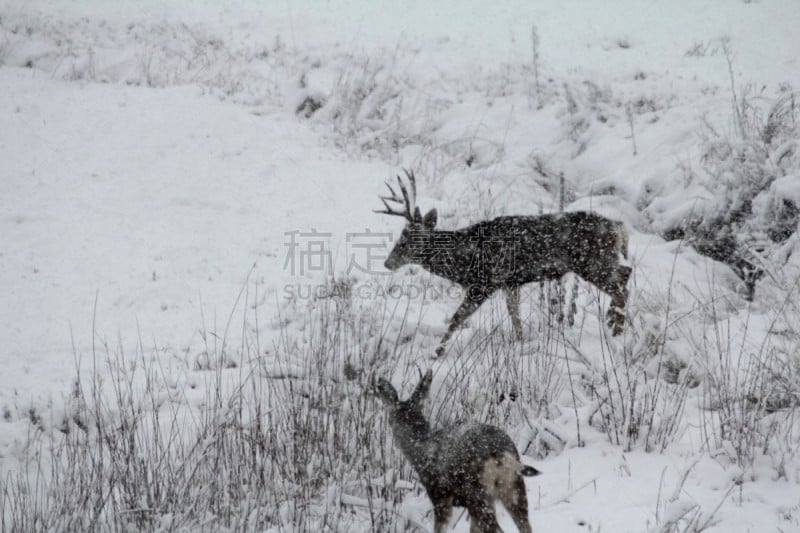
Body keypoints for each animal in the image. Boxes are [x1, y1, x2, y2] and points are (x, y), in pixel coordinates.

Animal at [374, 370, 536, 532]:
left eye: (390, 420)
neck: (420, 447)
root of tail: (499, 454)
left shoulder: (440, 495)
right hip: (514, 489)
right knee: (525, 525)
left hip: (477, 494)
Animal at [376, 168, 632, 356]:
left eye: (407, 241)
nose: (388, 263)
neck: (465, 259)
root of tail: (618, 226)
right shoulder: (510, 282)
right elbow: (514, 314)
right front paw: (521, 342)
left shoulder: (485, 282)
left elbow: (457, 317)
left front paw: (437, 352)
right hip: (600, 261)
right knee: (626, 273)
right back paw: (614, 322)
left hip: (593, 262)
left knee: (622, 286)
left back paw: (615, 326)